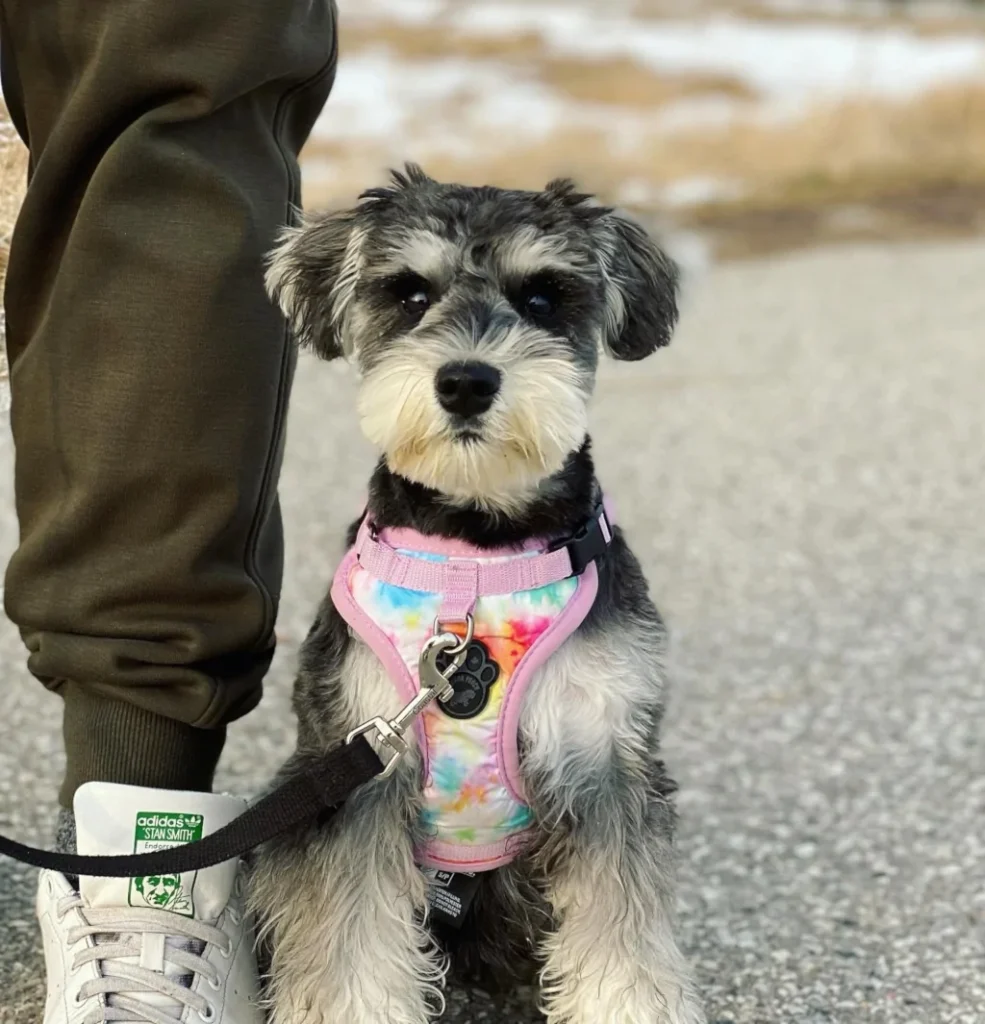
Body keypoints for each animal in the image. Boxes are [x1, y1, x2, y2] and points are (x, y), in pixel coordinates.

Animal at [249, 167, 704, 1024]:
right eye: (409, 294)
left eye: (543, 296)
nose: (465, 380)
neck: (479, 552)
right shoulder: (358, 781)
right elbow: (353, 948)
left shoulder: (605, 766)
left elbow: (620, 939)